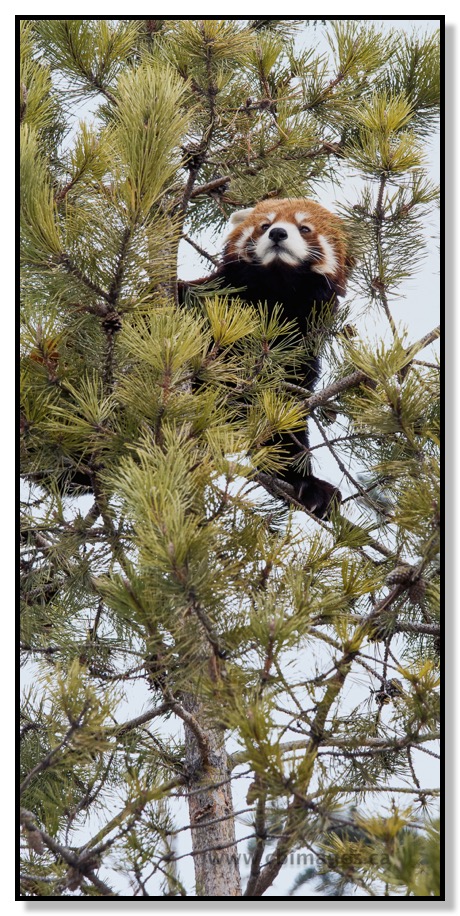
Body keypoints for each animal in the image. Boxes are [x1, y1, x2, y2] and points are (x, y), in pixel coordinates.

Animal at [181, 197, 352, 520]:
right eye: (264, 225)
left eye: (304, 228)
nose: (278, 233)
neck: (275, 299)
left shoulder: (298, 356)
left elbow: (281, 426)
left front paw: (308, 486)